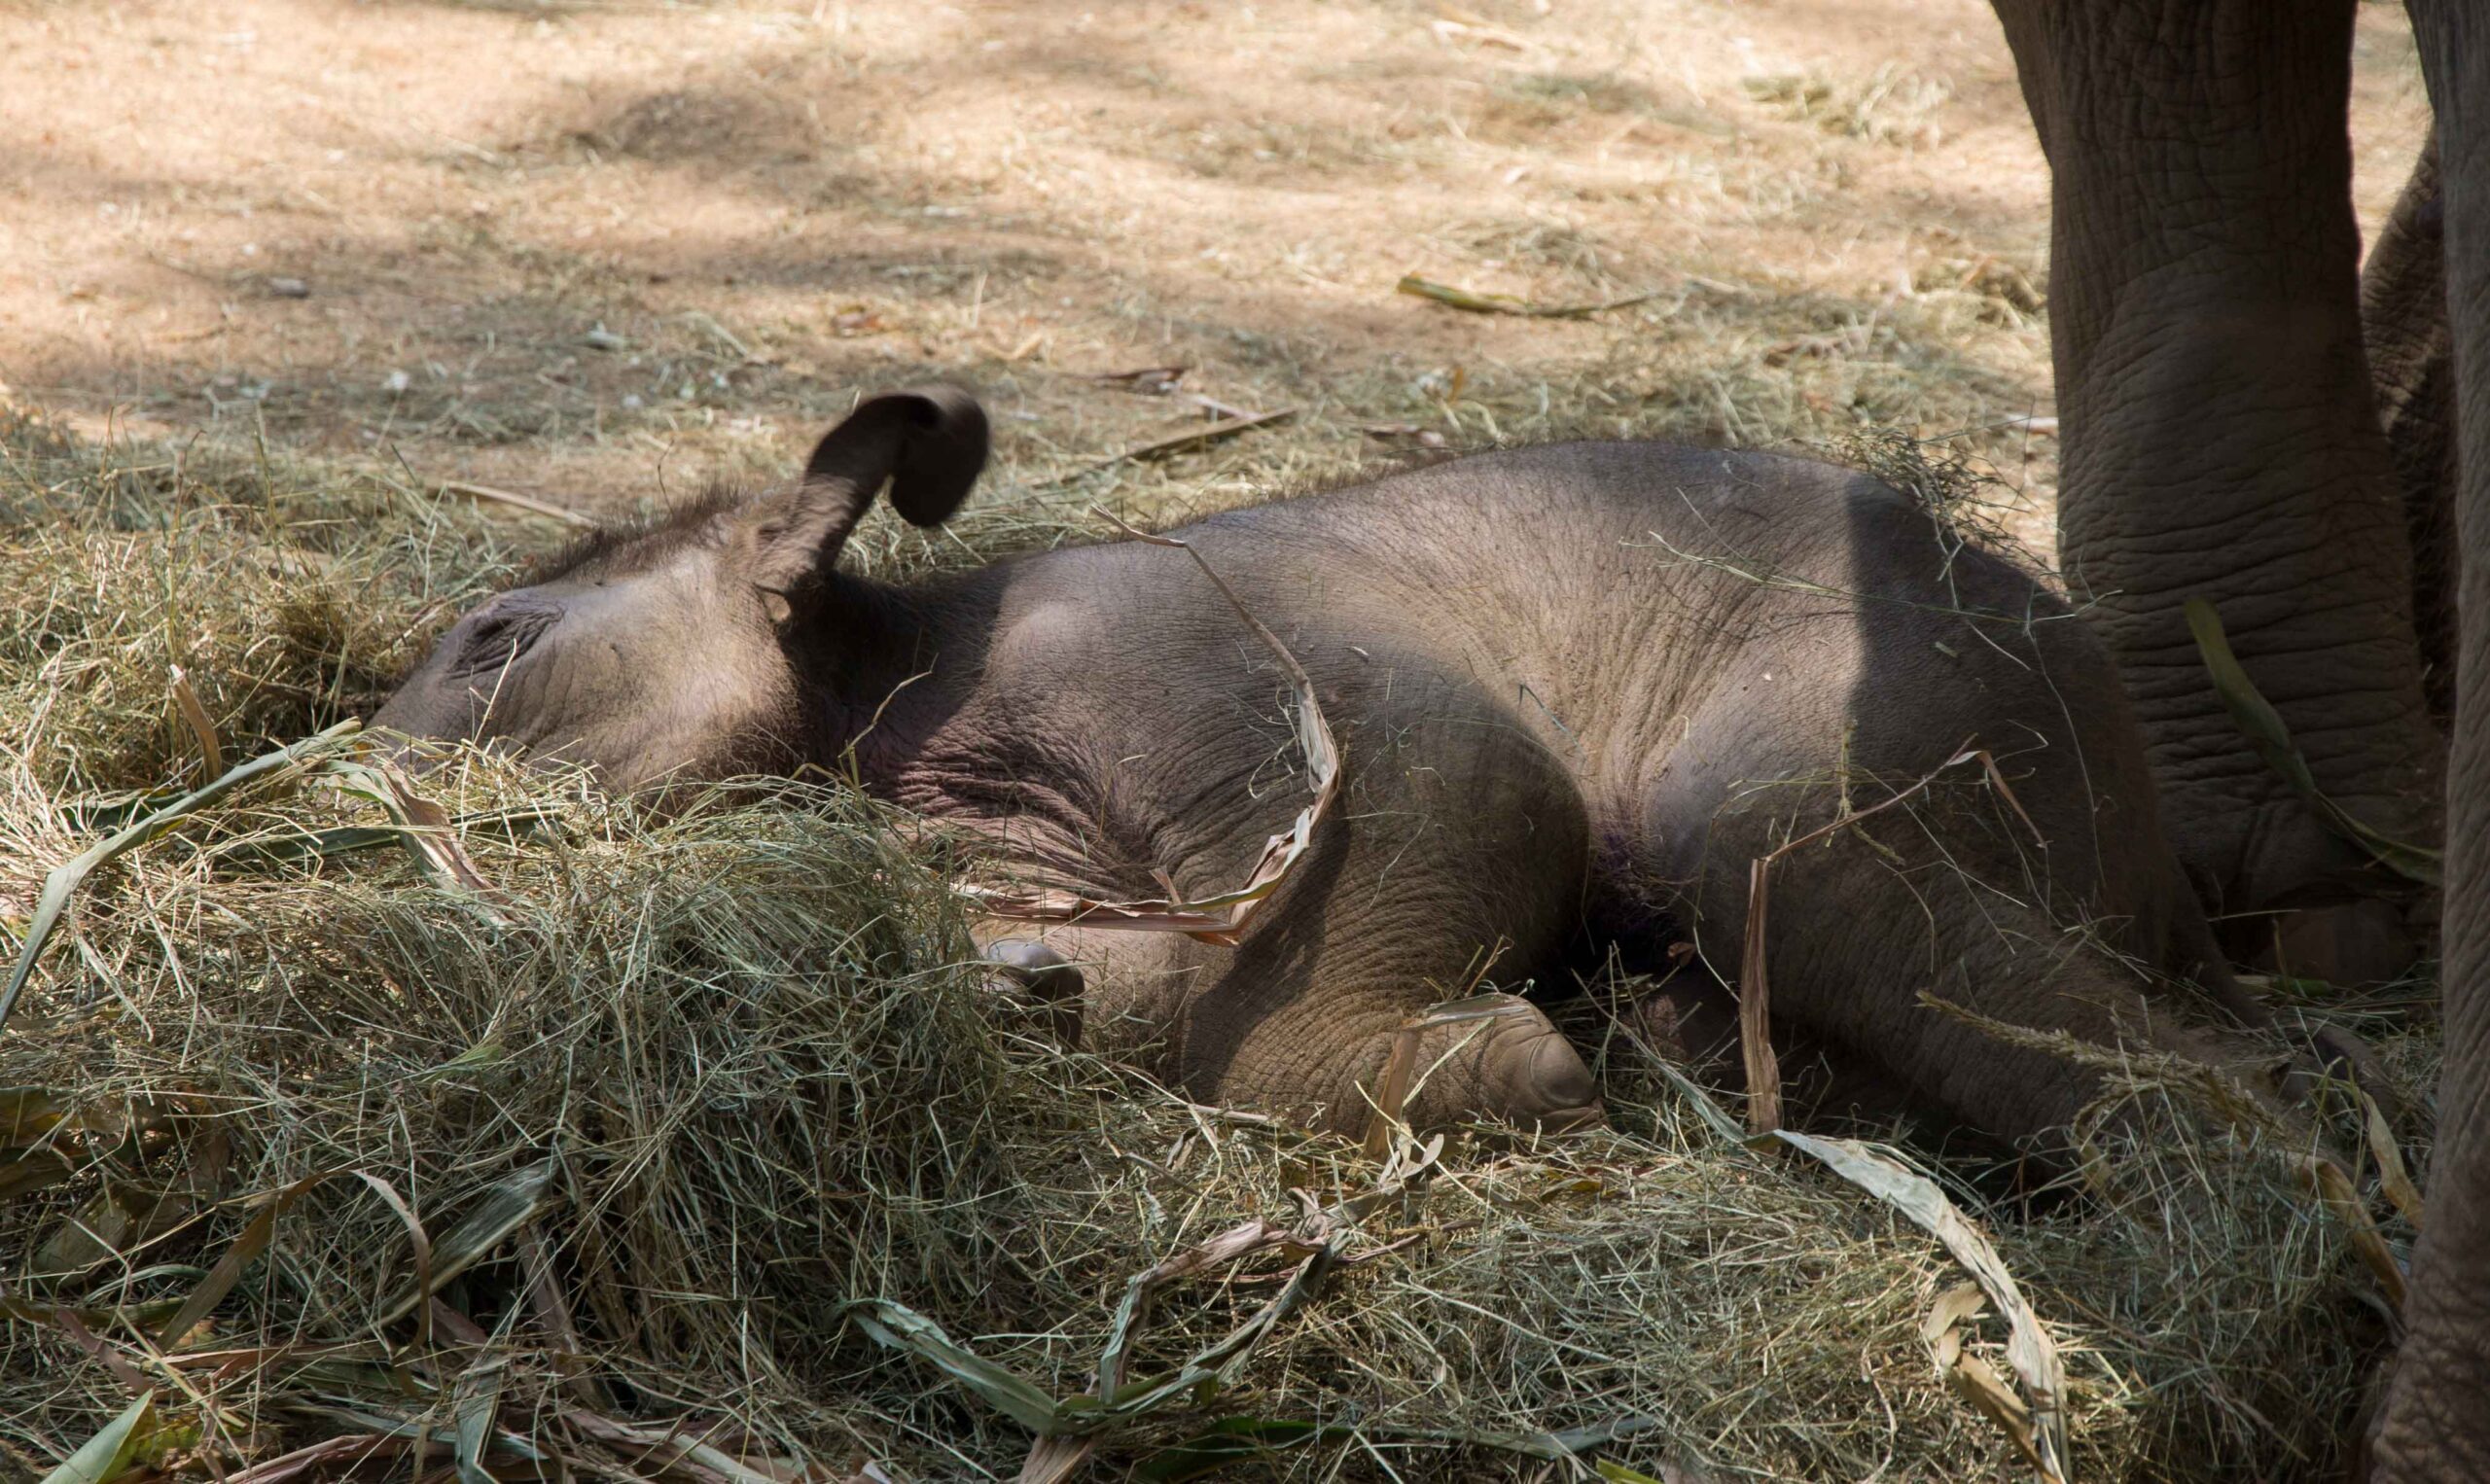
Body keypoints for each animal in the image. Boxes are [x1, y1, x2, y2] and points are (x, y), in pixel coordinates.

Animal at [372, 386, 2289, 1156]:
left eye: (495, 635)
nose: (353, 767)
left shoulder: (1184, 641)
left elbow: (1467, 781)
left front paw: (1522, 1060)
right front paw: (1021, 979)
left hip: (1907, 697)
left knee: (1764, 843)